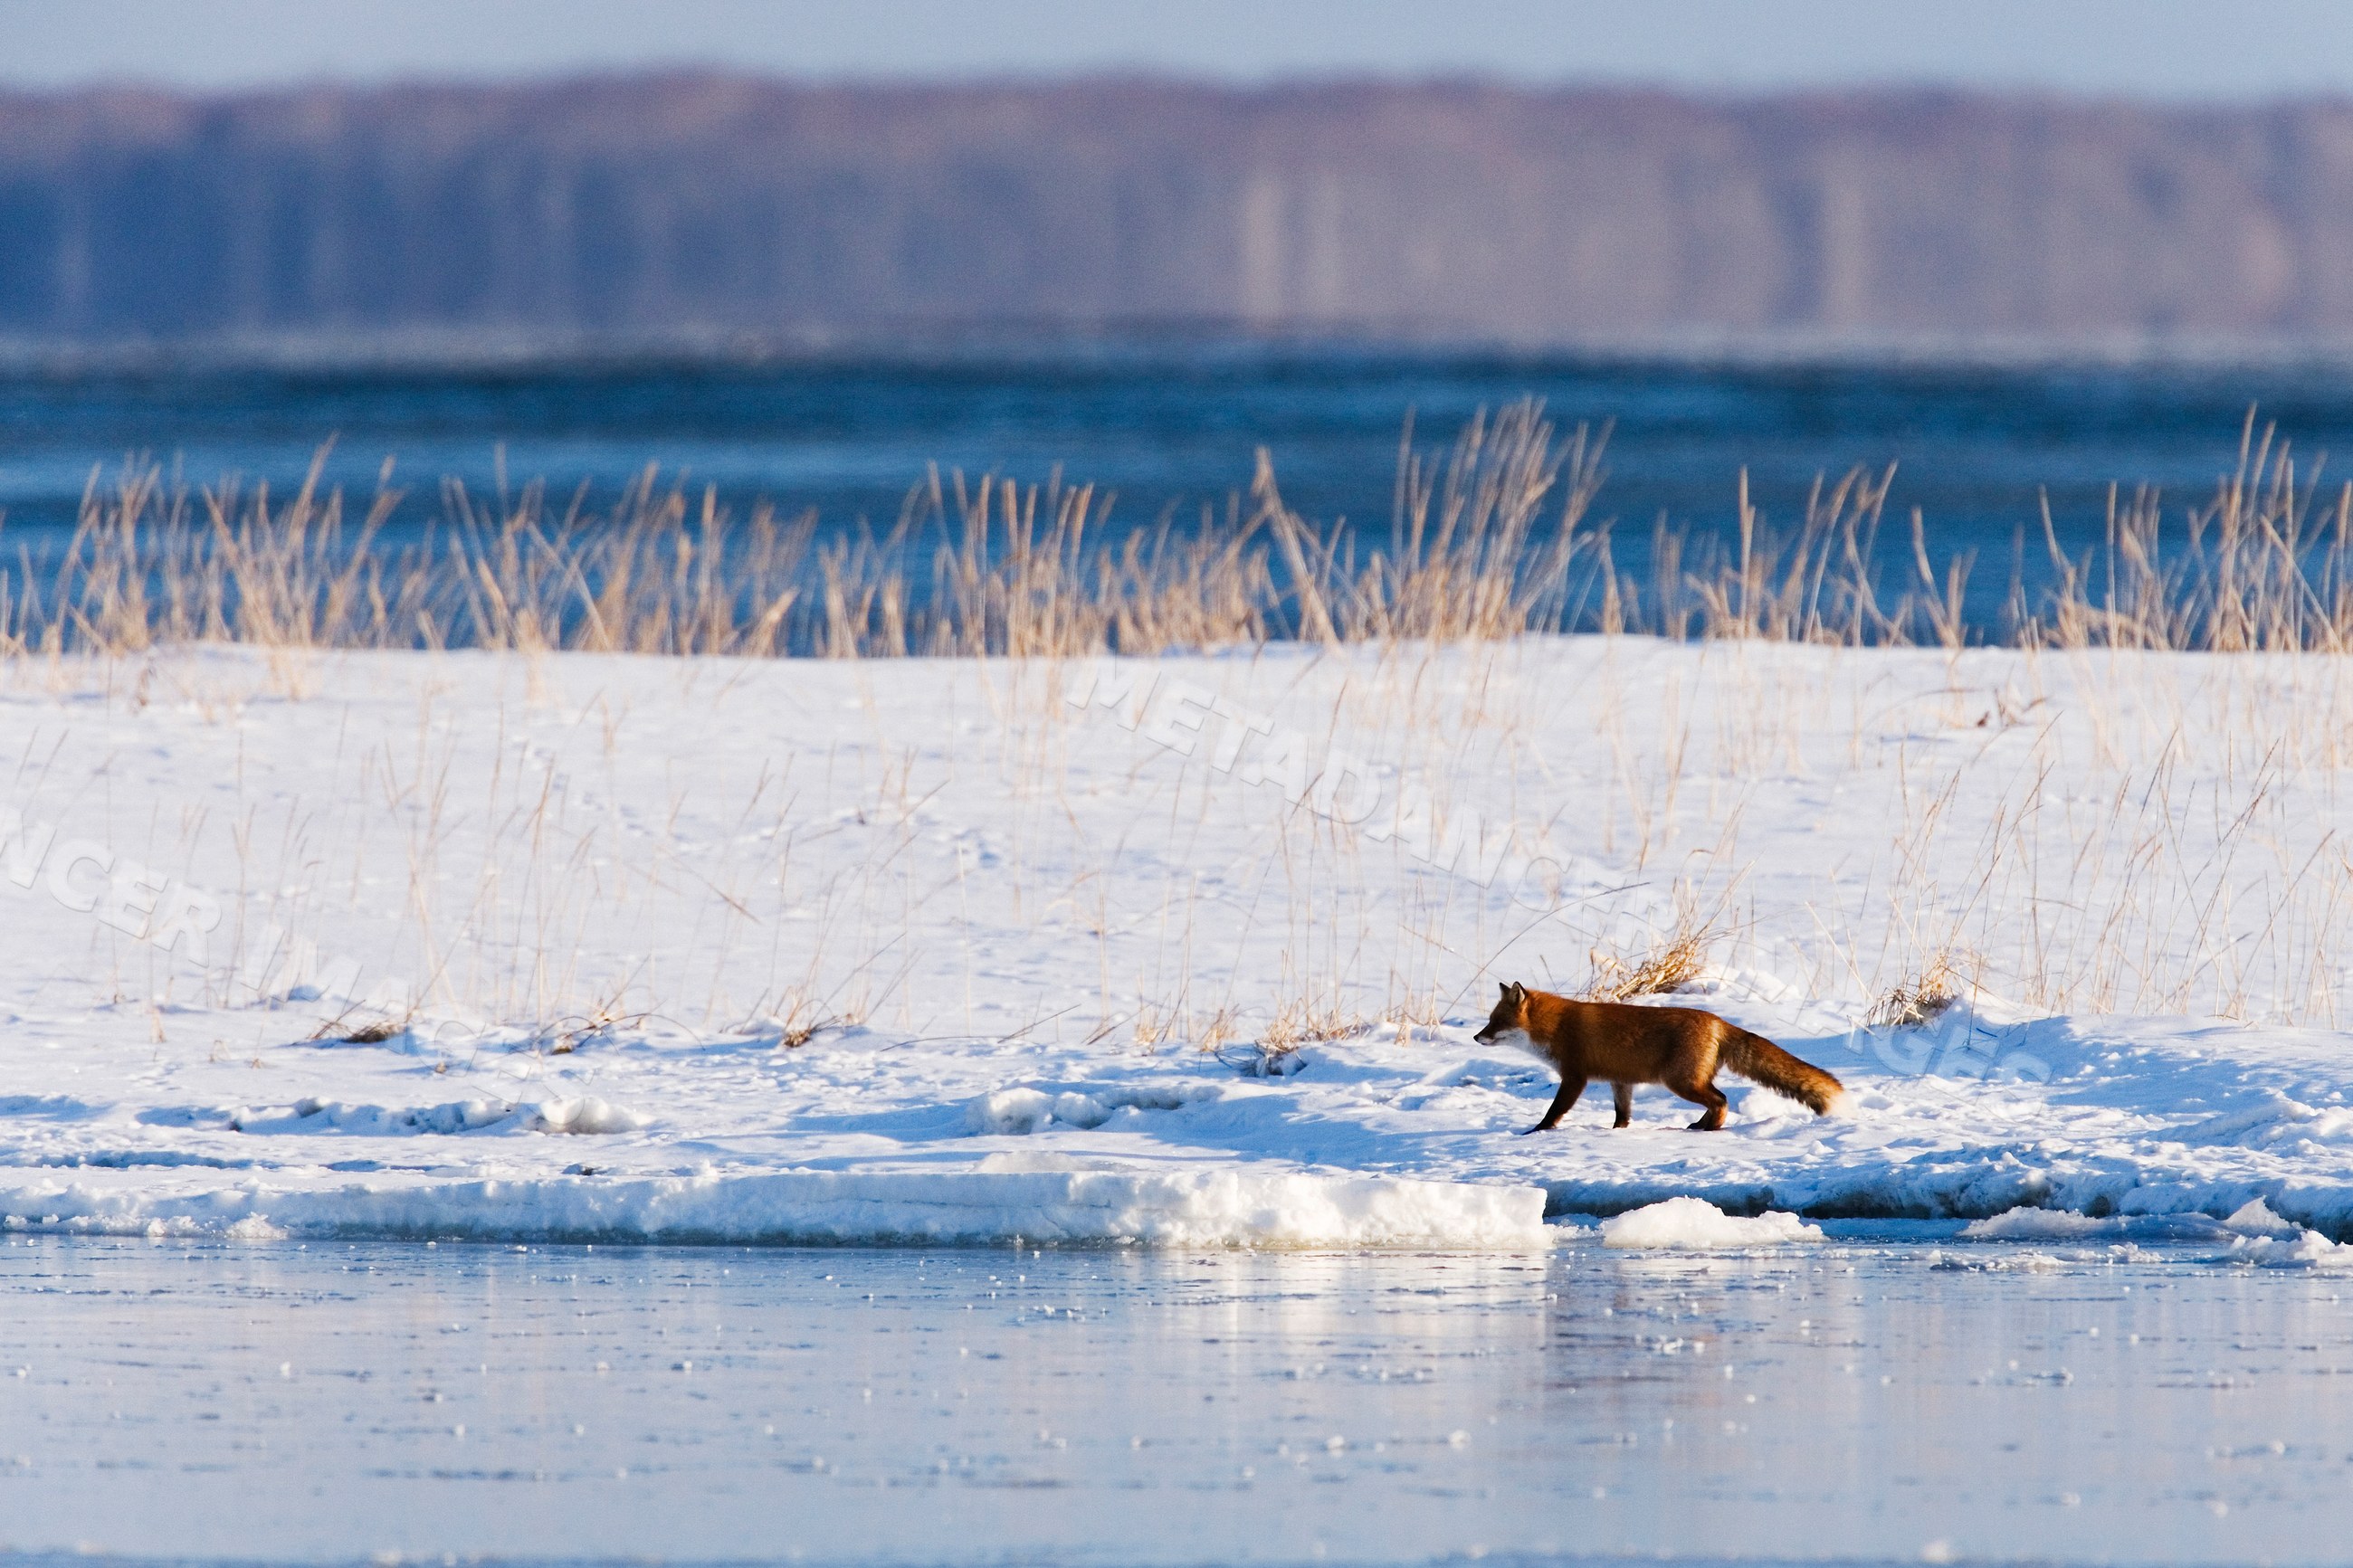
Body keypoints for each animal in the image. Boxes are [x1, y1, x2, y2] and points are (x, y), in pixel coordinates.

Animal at [1473, 981, 1844, 1133]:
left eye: (1496, 1022)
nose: (1476, 1037)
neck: (1556, 1026)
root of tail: (1717, 1020)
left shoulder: (1575, 1077)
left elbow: (1554, 1111)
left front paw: (1536, 1131)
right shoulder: (1620, 1080)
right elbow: (1622, 1115)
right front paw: (1618, 1132)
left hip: (1680, 1082)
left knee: (1722, 1100)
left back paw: (1712, 1129)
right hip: (1691, 1081)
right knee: (1717, 1100)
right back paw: (1699, 1126)